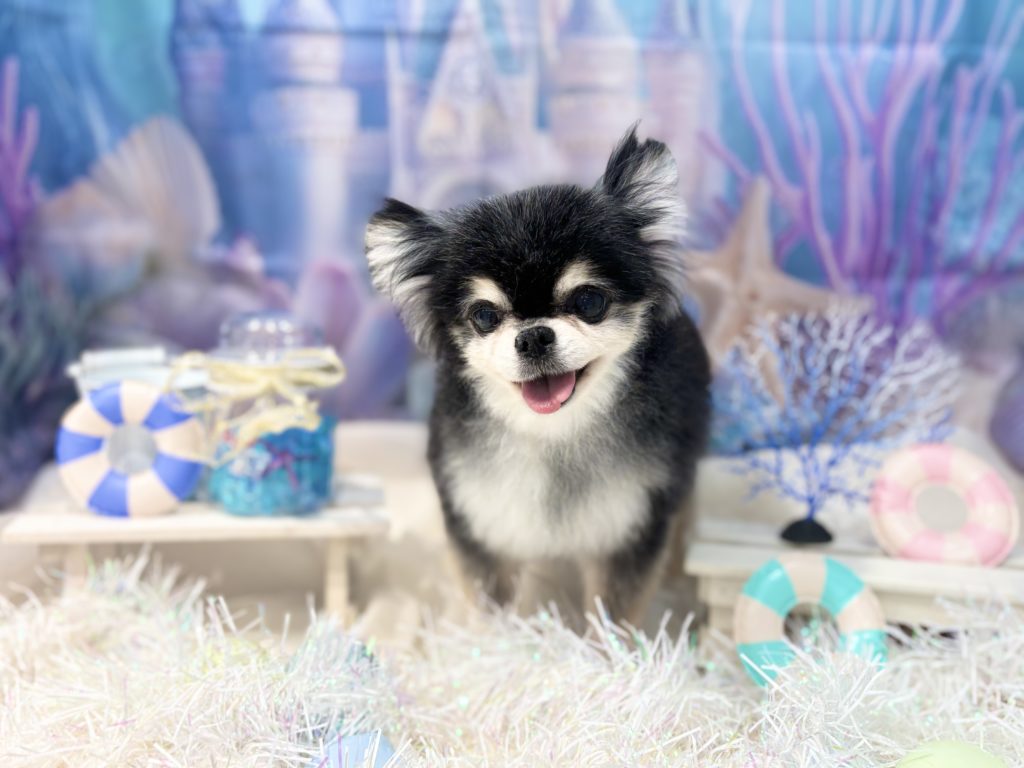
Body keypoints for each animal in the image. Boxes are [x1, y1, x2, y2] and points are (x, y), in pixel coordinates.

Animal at [365, 127, 711, 626]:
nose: (532, 337)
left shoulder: (634, 523)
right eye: (485, 316)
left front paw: (606, 649)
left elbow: (612, 615)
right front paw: (496, 643)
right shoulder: (478, 521)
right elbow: (489, 607)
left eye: (589, 302)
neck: (554, 434)